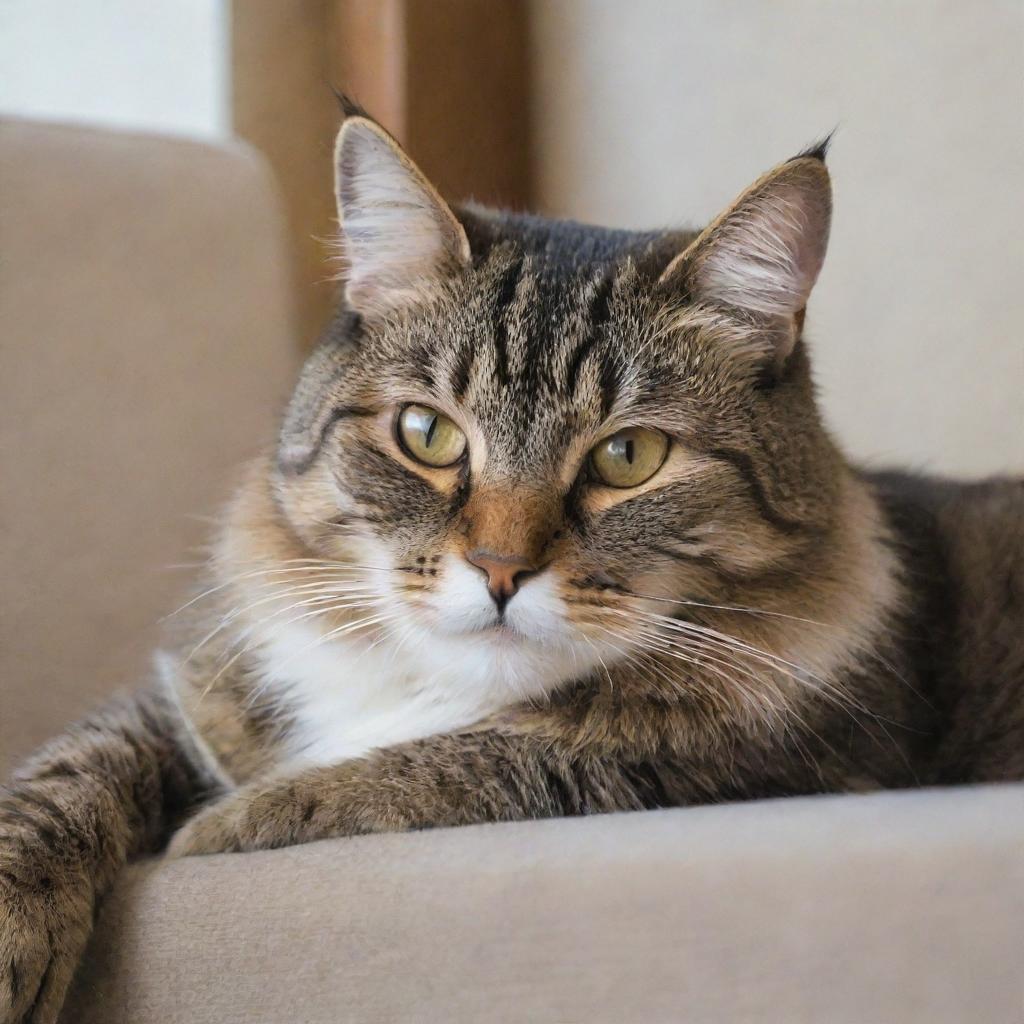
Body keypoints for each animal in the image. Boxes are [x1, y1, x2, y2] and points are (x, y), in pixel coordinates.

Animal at [2, 97, 1024, 1024]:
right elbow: (65, 770)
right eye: (427, 434)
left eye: (629, 457)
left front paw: (225, 826)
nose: (498, 571)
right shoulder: (191, 695)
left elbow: (450, 766)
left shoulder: (755, 768)